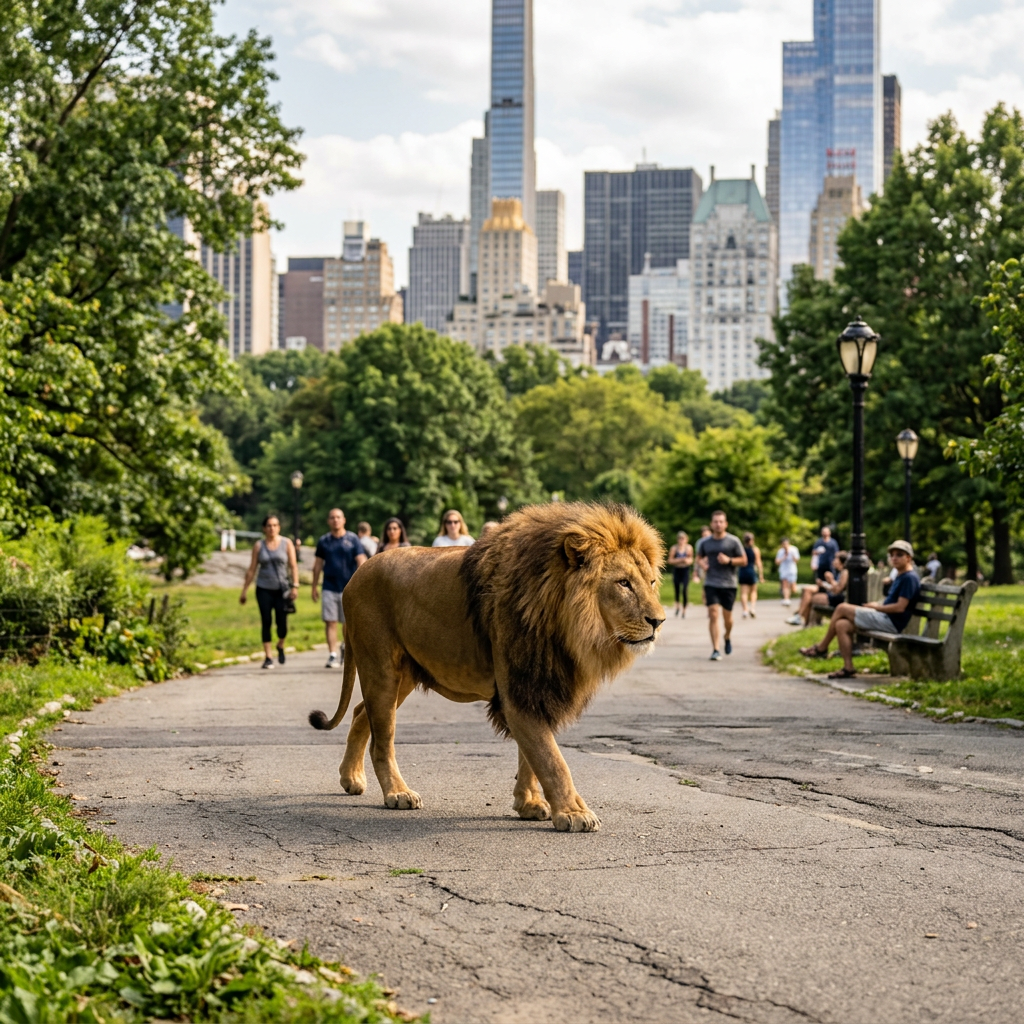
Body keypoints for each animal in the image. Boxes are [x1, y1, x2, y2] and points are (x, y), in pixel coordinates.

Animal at [308, 502, 665, 832]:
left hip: (404, 675)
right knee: (382, 740)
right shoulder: (519, 686)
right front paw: (574, 813)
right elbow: (551, 758)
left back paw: (351, 779)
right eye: (623, 583)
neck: (567, 626)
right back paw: (398, 793)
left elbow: (531, 755)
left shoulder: (535, 686)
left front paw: (529, 804)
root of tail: (354, 577)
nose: (659, 621)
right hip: (381, 668)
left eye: (651, 582)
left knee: (359, 713)